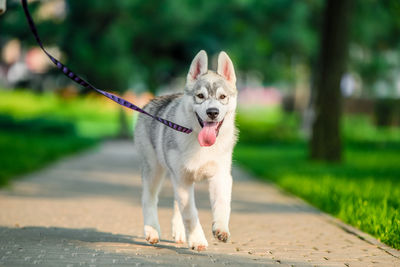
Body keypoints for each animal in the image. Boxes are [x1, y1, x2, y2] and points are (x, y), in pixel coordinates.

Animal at [134, 49, 238, 251]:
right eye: (200, 96)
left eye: (222, 97)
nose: (212, 112)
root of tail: (153, 100)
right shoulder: (182, 178)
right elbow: (190, 213)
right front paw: (197, 240)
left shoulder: (220, 175)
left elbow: (222, 204)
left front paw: (221, 228)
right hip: (154, 169)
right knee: (149, 198)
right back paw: (152, 231)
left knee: (176, 203)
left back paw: (179, 232)